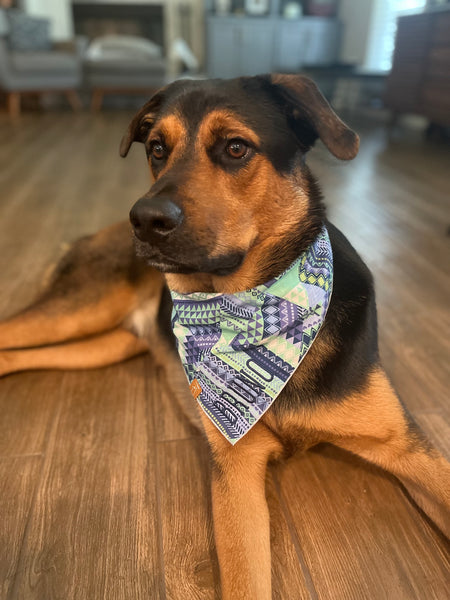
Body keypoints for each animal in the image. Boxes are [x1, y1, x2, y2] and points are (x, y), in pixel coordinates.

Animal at [0, 76, 450, 600]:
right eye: (157, 149)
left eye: (236, 148)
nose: (145, 220)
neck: (257, 311)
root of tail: (98, 232)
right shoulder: (237, 473)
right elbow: (244, 581)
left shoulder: (404, 446)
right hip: (79, 308)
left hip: (102, 343)